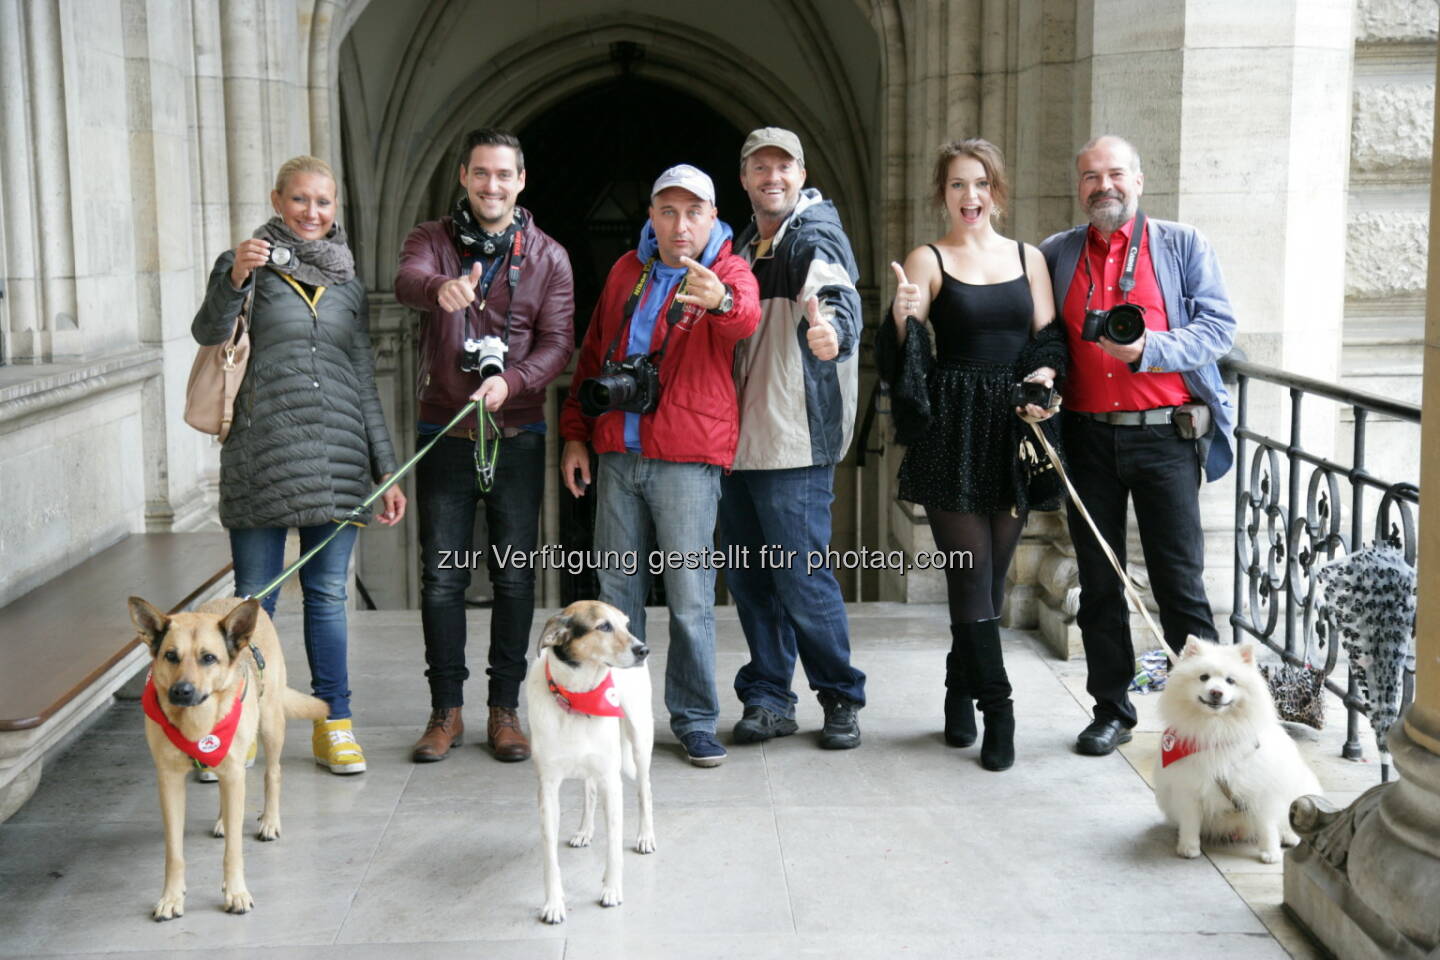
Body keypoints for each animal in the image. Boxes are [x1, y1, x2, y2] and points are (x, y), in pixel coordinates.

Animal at [128, 595, 328, 921]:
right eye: (170, 656)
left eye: (209, 658)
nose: (181, 692)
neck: (197, 721)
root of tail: (238, 598)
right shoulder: (170, 781)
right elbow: (174, 852)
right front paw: (171, 897)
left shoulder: (234, 773)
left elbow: (233, 850)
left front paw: (236, 893)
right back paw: (224, 820)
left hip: (271, 723)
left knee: (273, 773)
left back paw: (269, 821)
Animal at [524, 601, 659, 921]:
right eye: (604, 627)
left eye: (625, 624)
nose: (643, 650)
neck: (578, 697)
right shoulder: (547, 789)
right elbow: (550, 857)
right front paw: (553, 904)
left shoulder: (612, 781)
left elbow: (613, 845)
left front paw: (611, 890)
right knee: (589, 789)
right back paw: (585, 831)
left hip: (639, 739)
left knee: (644, 790)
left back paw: (645, 836)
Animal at [1152, 639, 1319, 863]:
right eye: (1203, 677)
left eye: (1230, 681)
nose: (1216, 692)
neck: (1217, 731)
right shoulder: (1189, 788)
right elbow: (1190, 822)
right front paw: (1188, 847)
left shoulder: (1261, 790)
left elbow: (1267, 826)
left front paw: (1271, 853)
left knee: (1286, 820)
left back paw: (1288, 836)